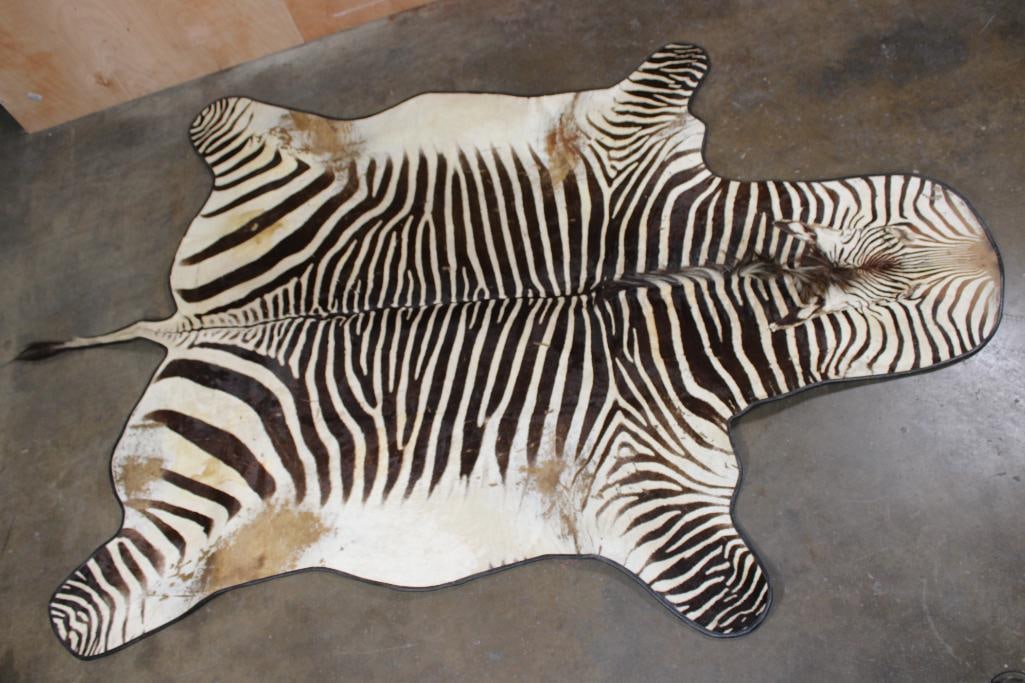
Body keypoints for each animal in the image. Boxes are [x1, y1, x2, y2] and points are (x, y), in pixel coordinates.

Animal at [21, 43, 1001, 658]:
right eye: (904, 303)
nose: (989, 259)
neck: (700, 277)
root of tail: (188, 320)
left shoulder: (629, 140)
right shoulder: (645, 477)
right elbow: (733, 595)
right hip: (197, 511)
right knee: (107, 591)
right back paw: (82, 620)